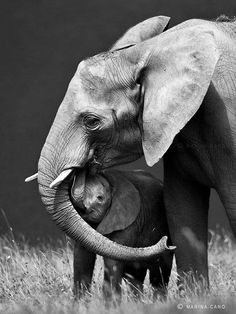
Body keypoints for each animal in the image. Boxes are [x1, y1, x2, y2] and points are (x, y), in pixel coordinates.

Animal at [71, 170, 172, 298]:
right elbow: (82, 256)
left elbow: (112, 260)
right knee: (135, 277)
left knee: (159, 276)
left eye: (100, 198)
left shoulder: (130, 221)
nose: (165, 241)